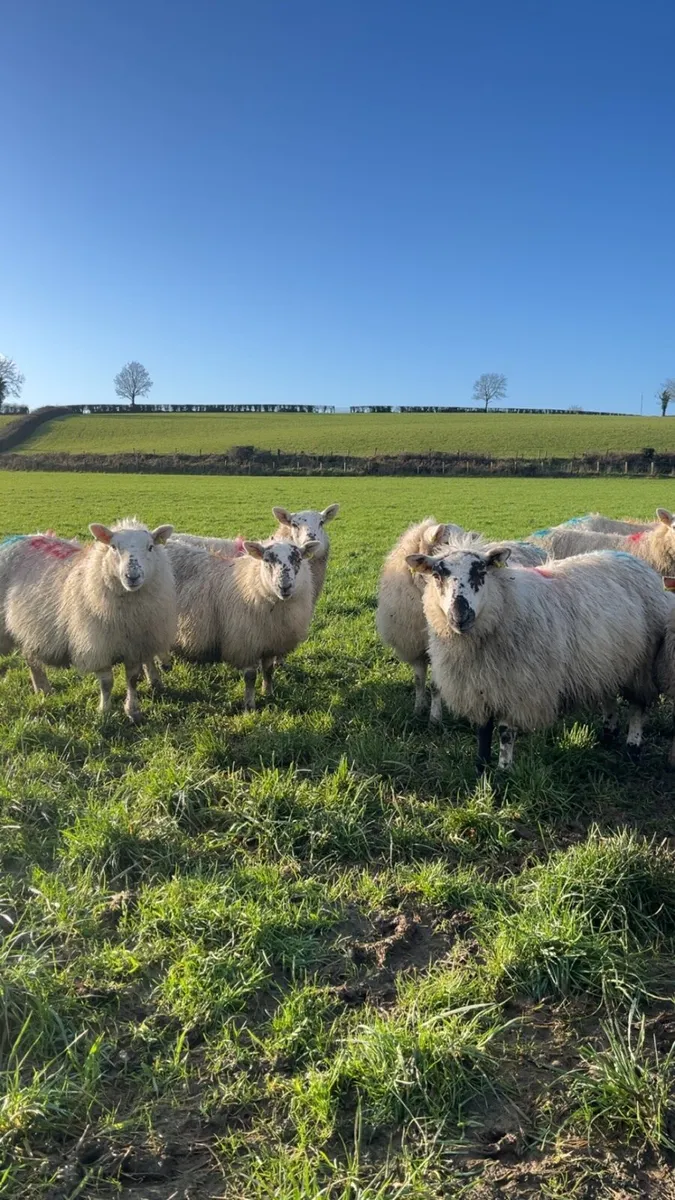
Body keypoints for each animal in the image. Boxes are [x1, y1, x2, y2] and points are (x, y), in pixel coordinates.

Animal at [0, 520, 176, 721]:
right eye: (113, 547)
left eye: (150, 547)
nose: (132, 576)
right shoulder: (97, 645)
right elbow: (107, 682)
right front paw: (104, 711)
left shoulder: (135, 645)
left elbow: (131, 680)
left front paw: (133, 711)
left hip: (29, 627)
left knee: (31, 660)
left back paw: (43, 690)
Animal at [165, 536, 320, 710]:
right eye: (267, 560)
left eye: (298, 559)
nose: (284, 587)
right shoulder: (246, 642)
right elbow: (250, 676)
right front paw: (250, 705)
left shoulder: (269, 641)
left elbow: (268, 670)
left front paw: (268, 692)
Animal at [376, 521, 549, 723]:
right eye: (445, 543)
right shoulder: (414, 647)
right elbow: (418, 680)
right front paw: (418, 709)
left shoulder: (441, 653)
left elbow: (436, 686)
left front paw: (435, 719)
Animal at [406, 541, 673, 771]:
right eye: (437, 576)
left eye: (481, 572)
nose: (460, 616)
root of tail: (633, 559)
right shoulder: (479, 687)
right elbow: (483, 730)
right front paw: (481, 769)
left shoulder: (517, 687)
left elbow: (505, 732)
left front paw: (504, 770)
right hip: (606, 661)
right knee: (608, 696)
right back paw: (608, 735)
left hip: (640, 666)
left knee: (638, 707)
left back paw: (632, 747)